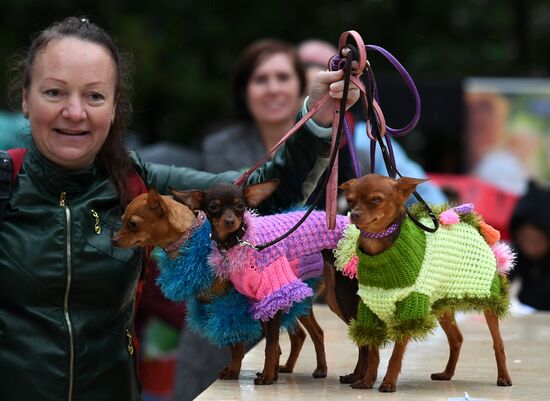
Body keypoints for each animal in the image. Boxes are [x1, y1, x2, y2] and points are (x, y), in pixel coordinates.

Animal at [338, 173, 516, 390]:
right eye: (350, 201)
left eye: (376, 199)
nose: (354, 215)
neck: (378, 251)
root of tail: (468, 222)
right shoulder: (369, 307)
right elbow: (372, 351)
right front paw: (366, 381)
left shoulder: (410, 308)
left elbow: (395, 354)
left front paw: (388, 382)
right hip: (443, 302)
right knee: (457, 339)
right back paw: (447, 374)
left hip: (488, 296)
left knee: (498, 342)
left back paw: (504, 377)